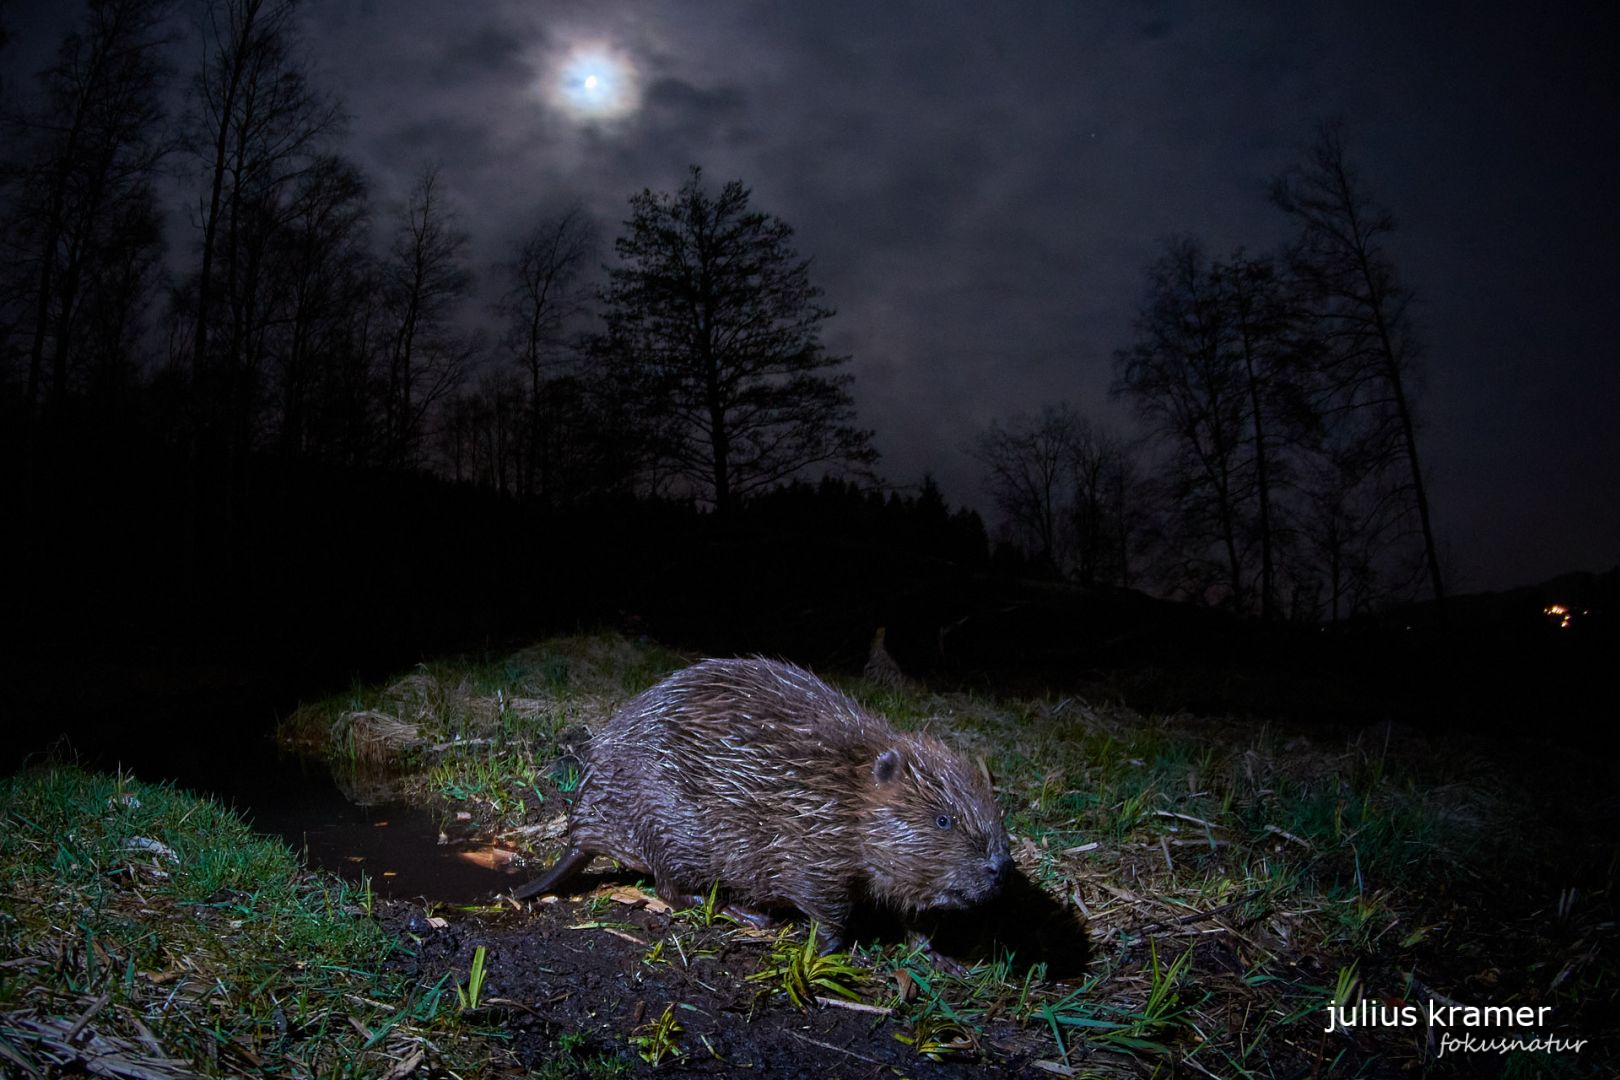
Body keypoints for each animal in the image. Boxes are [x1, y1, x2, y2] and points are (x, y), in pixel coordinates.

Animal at [511, 654, 1004, 952]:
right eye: (943, 820)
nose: (1000, 868)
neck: (840, 790)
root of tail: (580, 832)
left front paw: (937, 954)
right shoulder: (809, 849)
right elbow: (827, 908)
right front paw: (827, 948)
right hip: (671, 824)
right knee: (672, 889)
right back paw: (745, 913)